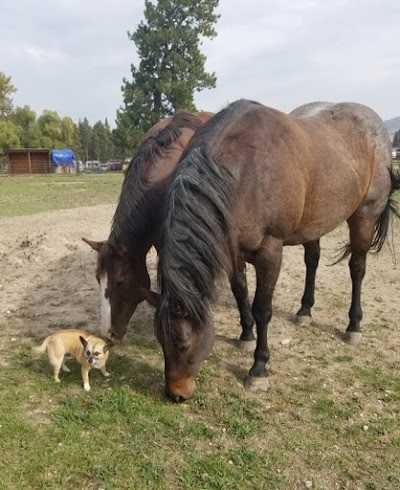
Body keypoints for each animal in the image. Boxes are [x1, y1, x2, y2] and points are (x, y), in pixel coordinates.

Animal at [148, 97, 400, 400]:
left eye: (183, 344)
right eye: (159, 339)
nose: (176, 394)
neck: (245, 173)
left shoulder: (270, 252)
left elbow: (262, 309)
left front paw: (258, 368)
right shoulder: (233, 249)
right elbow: (240, 291)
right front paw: (246, 335)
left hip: (364, 216)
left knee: (357, 268)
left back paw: (353, 327)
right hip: (313, 224)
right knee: (312, 260)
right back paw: (304, 312)